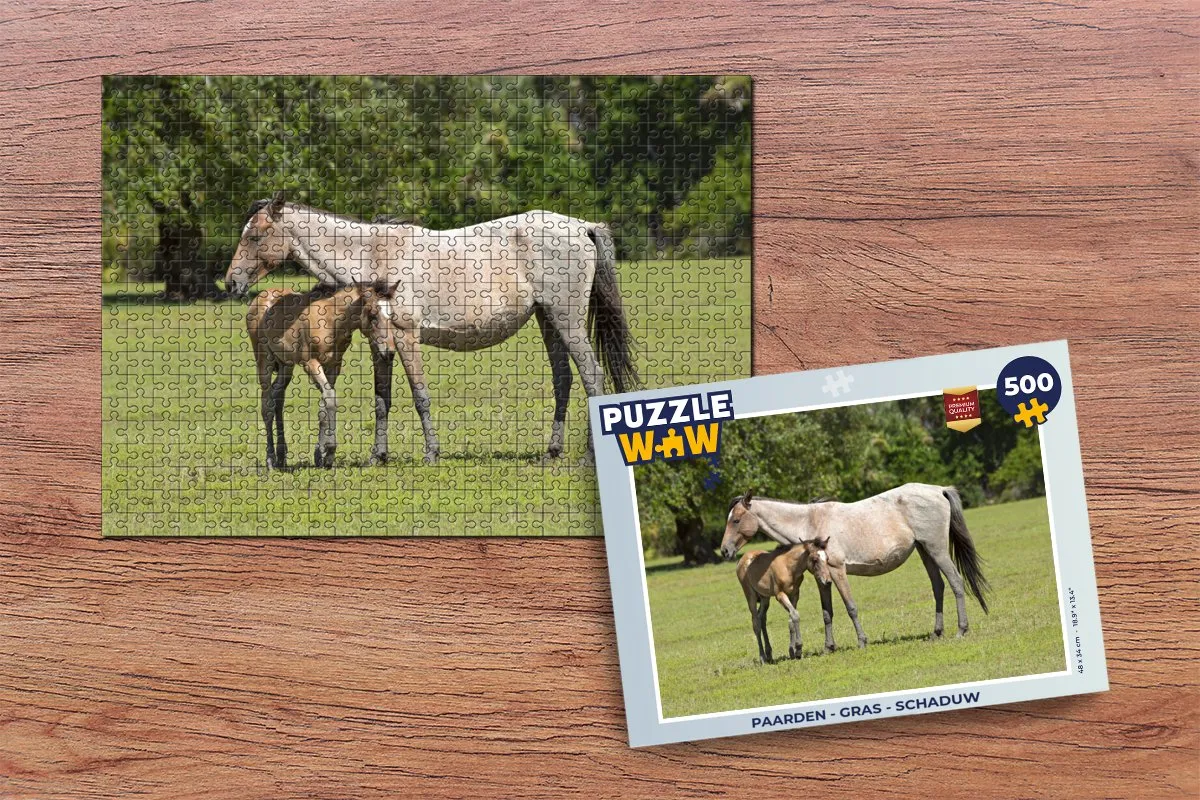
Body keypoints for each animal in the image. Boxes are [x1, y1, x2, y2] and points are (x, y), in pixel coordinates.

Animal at [246, 284, 397, 469]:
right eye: (373, 314)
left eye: (391, 316)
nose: (389, 352)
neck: (331, 320)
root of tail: (262, 294)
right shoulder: (310, 363)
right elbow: (330, 398)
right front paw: (330, 452)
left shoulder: (333, 366)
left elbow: (324, 407)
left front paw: (320, 456)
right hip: (263, 359)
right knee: (266, 405)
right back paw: (270, 460)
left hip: (285, 365)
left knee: (278, 397)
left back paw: (281, 456)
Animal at [720, 486, 990, 651]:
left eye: (736, 520)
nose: (724, 551)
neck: (810, 521)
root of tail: (939, 490)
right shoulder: (822, 578)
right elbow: (827, 612)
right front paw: (829, 647)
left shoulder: (837, 570)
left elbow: (850, 607)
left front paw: (861, 641)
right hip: (925, 552)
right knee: (938, 587)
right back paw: (936, 632)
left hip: (937, 550)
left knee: (956, 583)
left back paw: (961, 629)